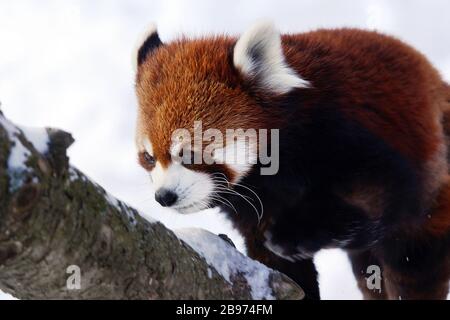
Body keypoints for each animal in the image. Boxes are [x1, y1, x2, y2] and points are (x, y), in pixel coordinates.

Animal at [134, 21, 450, 298]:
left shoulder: (354, 139)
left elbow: (378, 198)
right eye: (149, 157)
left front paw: (292, 236)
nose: (165, 196)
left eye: (188, 153)